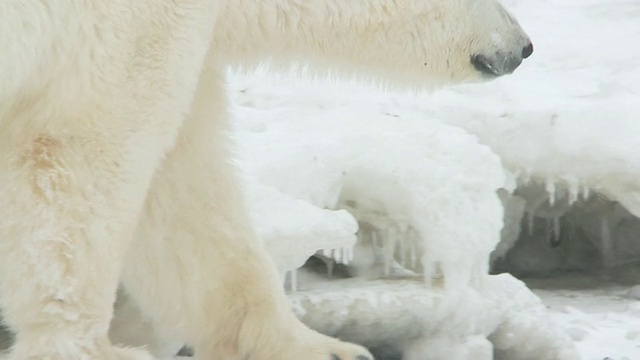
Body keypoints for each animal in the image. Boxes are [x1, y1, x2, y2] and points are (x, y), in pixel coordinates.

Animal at [0, 0, 528, 360]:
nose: (521, 46)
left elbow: (185, 193)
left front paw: (323, 349)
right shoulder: (125, 27)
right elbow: (79, 149)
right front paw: (87, 347)